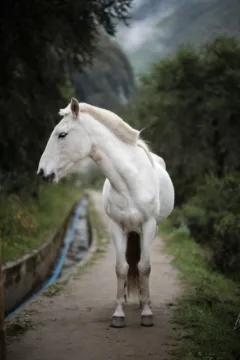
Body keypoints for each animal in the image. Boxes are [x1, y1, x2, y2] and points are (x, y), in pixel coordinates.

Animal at [37, 97, 174, 328]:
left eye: (62, 134)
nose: (42, 173)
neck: (130, 182)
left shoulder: (148, 226)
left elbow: (145, 267)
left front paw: (147, 313)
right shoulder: (117, 227)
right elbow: (121, 268)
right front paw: (118, 314)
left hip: (149, 230)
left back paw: (142, 302)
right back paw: (128, 298)